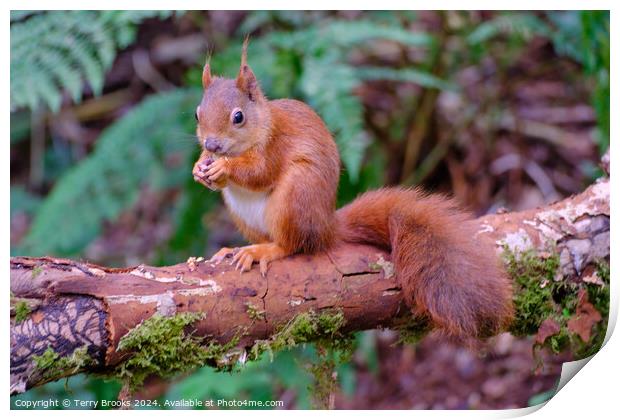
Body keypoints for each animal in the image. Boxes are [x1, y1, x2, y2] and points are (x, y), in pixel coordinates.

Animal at [194, 41, 512, 338]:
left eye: (238, 117)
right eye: (197, 114)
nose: (211, 145)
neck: (258, 129)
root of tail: (327, 227)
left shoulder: (275, 146)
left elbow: (260, 172)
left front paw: (224, 168)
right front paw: (200, 168)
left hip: (295, 196)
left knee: (292, 244)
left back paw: (264, 250)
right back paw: (238, 248)